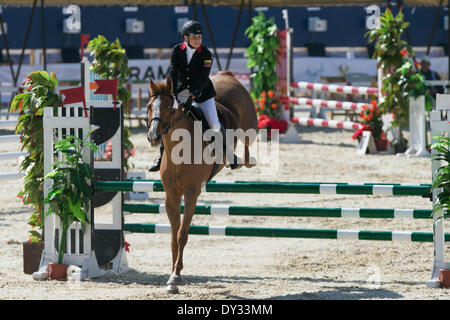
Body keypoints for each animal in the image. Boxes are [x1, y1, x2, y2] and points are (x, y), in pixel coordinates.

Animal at [145, 71, 256, 294]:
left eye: (169, 108)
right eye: (149, 106)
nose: (153, 137)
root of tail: (227, 74)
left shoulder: (191, 194)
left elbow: (182, 234)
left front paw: (176, 276)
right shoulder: (171, 195)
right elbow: (173, 236)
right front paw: (173, 274)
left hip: (250, 124)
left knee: (249, 143)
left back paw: (243, 161)